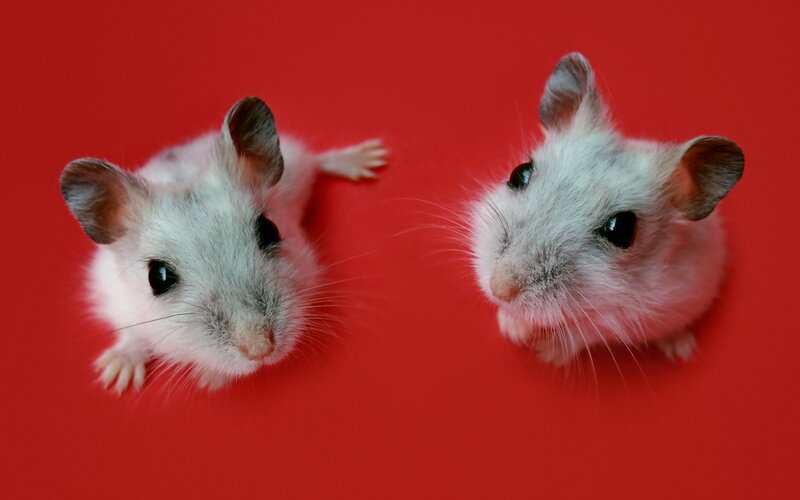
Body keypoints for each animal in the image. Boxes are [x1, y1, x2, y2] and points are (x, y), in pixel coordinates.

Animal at [60, 97, 387, 392]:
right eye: (157, 277)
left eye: (269, 231)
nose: (260, 351)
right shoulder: (116, 300)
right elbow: (132, 336)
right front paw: (115, 377)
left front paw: (211, 379)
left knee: (318, 161)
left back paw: (368, 158)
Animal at [471, 53, 744, 366]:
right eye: (520, 173)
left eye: (622, 229)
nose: (499, 288)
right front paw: (511, 328)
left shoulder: (624, 319)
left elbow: (580, 334)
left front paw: (545, 352)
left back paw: (682, 351)